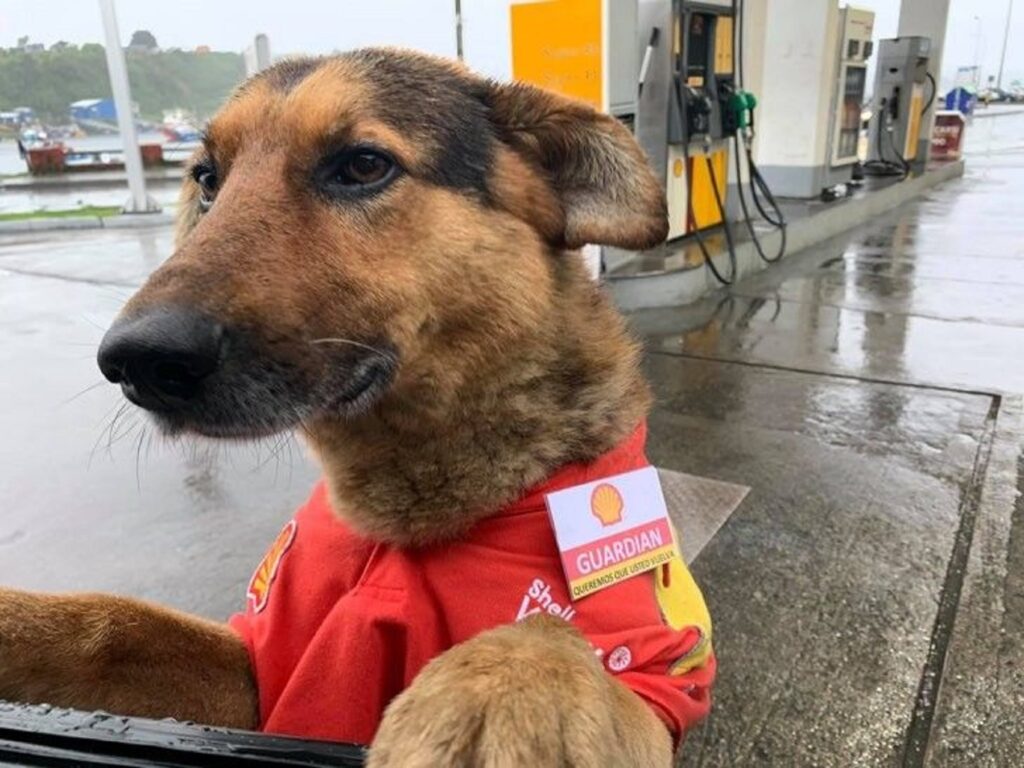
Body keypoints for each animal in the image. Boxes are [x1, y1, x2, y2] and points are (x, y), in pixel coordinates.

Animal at [0, 51, 716, 765]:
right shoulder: (256, 663)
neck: (398, 526)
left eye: (364, 165)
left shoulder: (660, 681)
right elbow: (114, 625)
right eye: (207, 179)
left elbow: (550, 633)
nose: (137, 361)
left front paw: (506, 692)